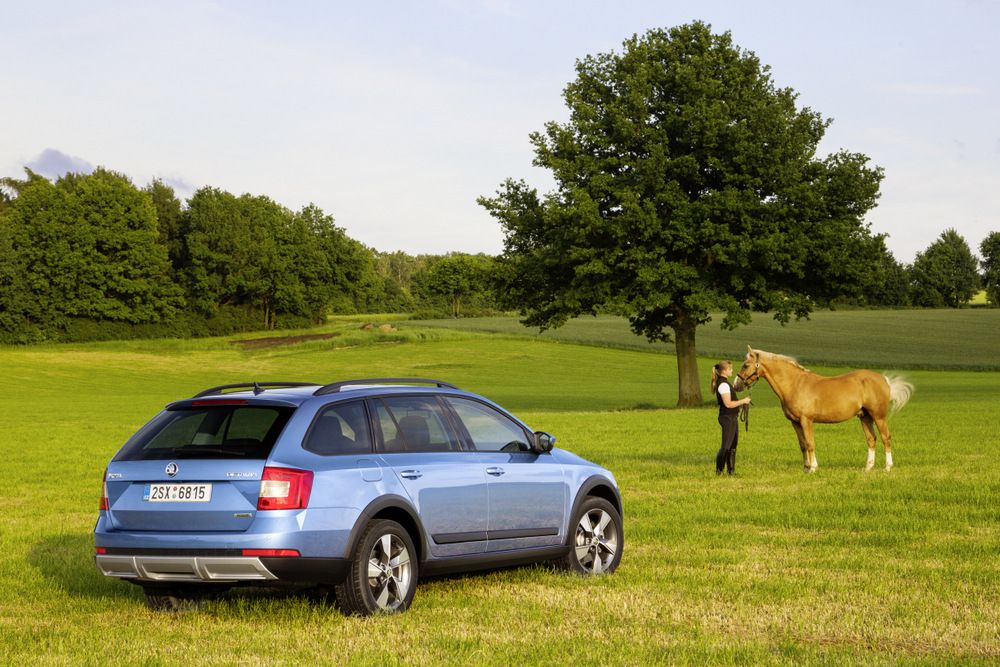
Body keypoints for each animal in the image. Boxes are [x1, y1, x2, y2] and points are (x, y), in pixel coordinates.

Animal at [736, 348, 916, 472]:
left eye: (746, 365)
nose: (737, 385)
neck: (795, 384)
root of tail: (883, 379)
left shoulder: (806, 420)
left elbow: (810, 443)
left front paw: (813, 468)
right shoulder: (795, 422)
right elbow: (802, 445)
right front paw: (806, 468)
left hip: (879, 416)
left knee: (886, 438)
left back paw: (887, 467)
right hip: (865, 417)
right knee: (871, 439)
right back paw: (868, 468)